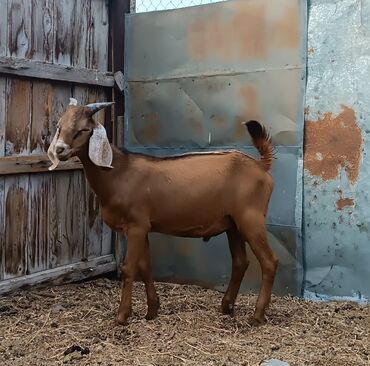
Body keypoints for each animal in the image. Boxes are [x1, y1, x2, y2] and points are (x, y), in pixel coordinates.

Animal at [47, 98, 278, 324]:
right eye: (59, 126)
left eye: (84, 129)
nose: (59, 149)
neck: (118, 173)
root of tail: (261, 166)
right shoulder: (143, 227)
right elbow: (145, 266)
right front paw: (152, 310)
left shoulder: (136, 225)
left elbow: (129, 268)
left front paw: (122, 316)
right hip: (233, 224)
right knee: (240, 262)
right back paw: (227, 307)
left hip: (251, 218)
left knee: (269, 261)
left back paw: (257, 315)